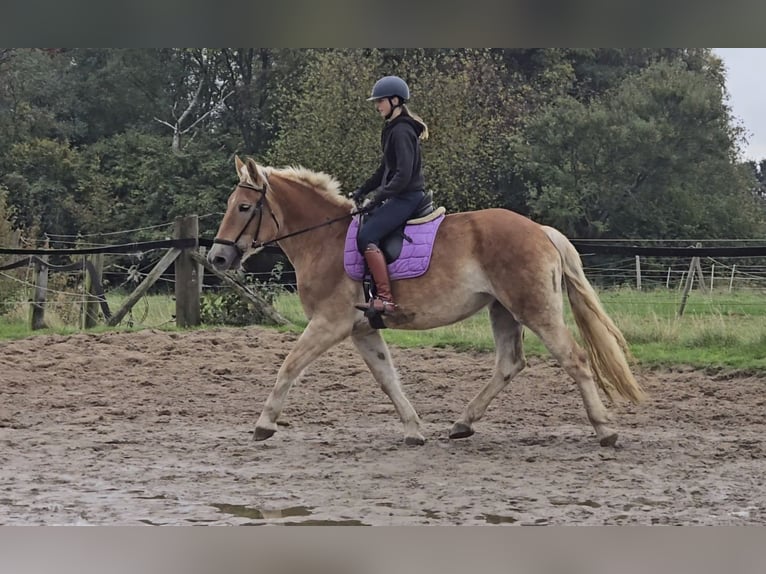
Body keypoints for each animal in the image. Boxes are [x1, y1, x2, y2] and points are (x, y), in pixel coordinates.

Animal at [207, 155, 646, 447]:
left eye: (243, 207)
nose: (218, 258)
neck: (324, 240)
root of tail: (540, 230)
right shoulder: (361, 329)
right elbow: (387, 378)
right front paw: (414, 430)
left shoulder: (329, 324)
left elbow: (289, 365)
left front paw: (264, 424)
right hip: (502, 310)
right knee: (509, 364)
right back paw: (462, 423)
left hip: (535, 309)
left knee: (574, 359)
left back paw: (605, 429)